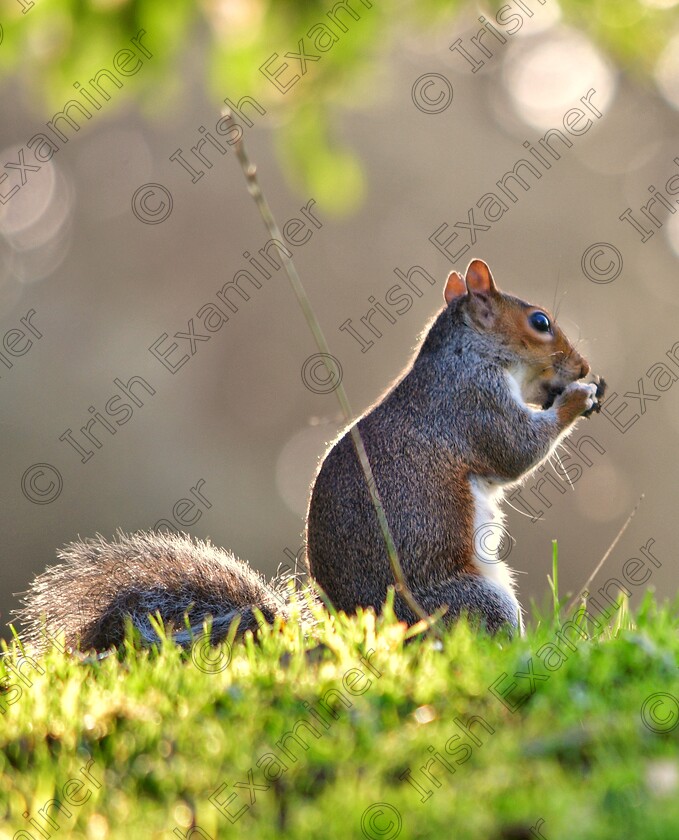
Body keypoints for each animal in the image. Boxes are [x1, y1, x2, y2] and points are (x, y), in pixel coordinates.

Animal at [14, 260, 604, 652]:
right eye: (540, 321)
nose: (581, 366)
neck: (467, 355)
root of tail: (364, 629)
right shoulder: (471, 404)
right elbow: (516, 451)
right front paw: (577, 398)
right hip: (471, 601)